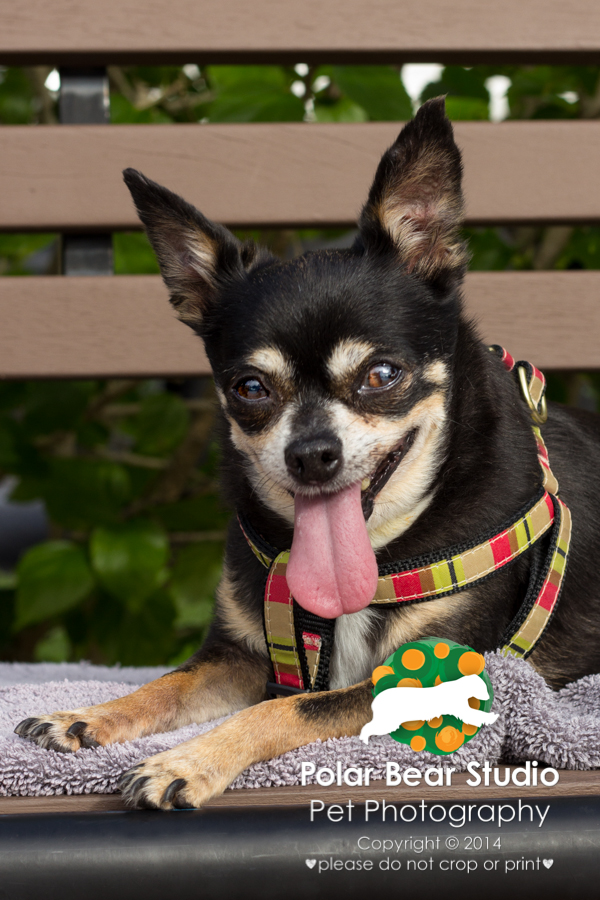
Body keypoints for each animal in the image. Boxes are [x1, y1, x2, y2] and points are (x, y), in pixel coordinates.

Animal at [14, 96, 600, 808]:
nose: (311, 454)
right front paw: (86, 715)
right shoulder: (238, 655)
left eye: (381, 375)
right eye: (251, 388)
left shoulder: (435, 678)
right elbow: (168, 683)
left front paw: (186, 759)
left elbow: (281, 708)